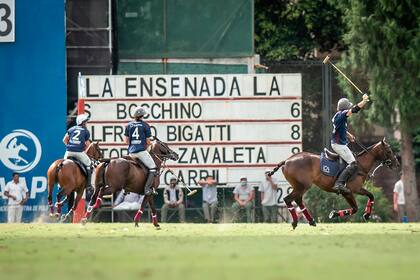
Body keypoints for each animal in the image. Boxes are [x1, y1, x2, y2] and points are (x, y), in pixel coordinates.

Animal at [270, 139, 400, 229]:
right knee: (288, 199)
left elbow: (368, 198)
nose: (397, 164)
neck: (360, 165)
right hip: (303, 186)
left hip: (299, 186)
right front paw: (335, 214)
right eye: (389, 151)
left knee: (297, 200)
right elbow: (356, 207)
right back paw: (295, 222)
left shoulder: (353, 190)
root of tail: (286, 161)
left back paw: (311, 221)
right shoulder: (351, 191)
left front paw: (366, 215)